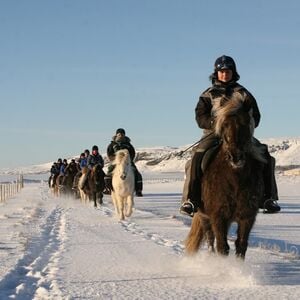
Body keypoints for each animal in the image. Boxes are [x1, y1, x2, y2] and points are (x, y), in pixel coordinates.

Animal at [186, 95, 266, 258]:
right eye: (224, 125)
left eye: (246, 122)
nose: (235, 157)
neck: (235, 179)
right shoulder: (218, 216)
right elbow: (222, 247)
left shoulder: (247, 217)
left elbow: (241, 246)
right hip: (204, 215)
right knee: (210, 239)